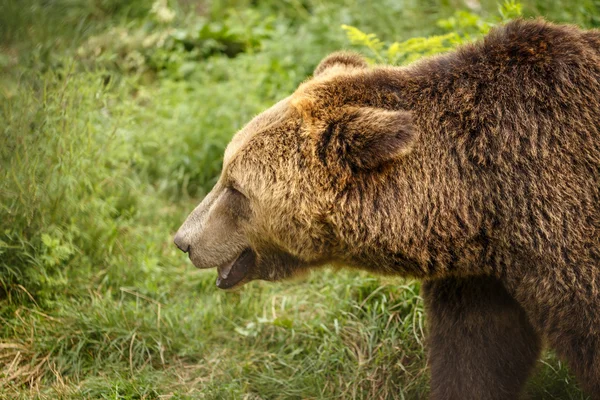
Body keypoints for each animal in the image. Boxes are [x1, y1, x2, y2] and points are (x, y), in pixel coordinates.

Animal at [173, 19, 600, 400]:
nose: (183, 240)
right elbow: (477, 353)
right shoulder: (481, 276)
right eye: (224, 171)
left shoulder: (562, 227)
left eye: (236, 188)